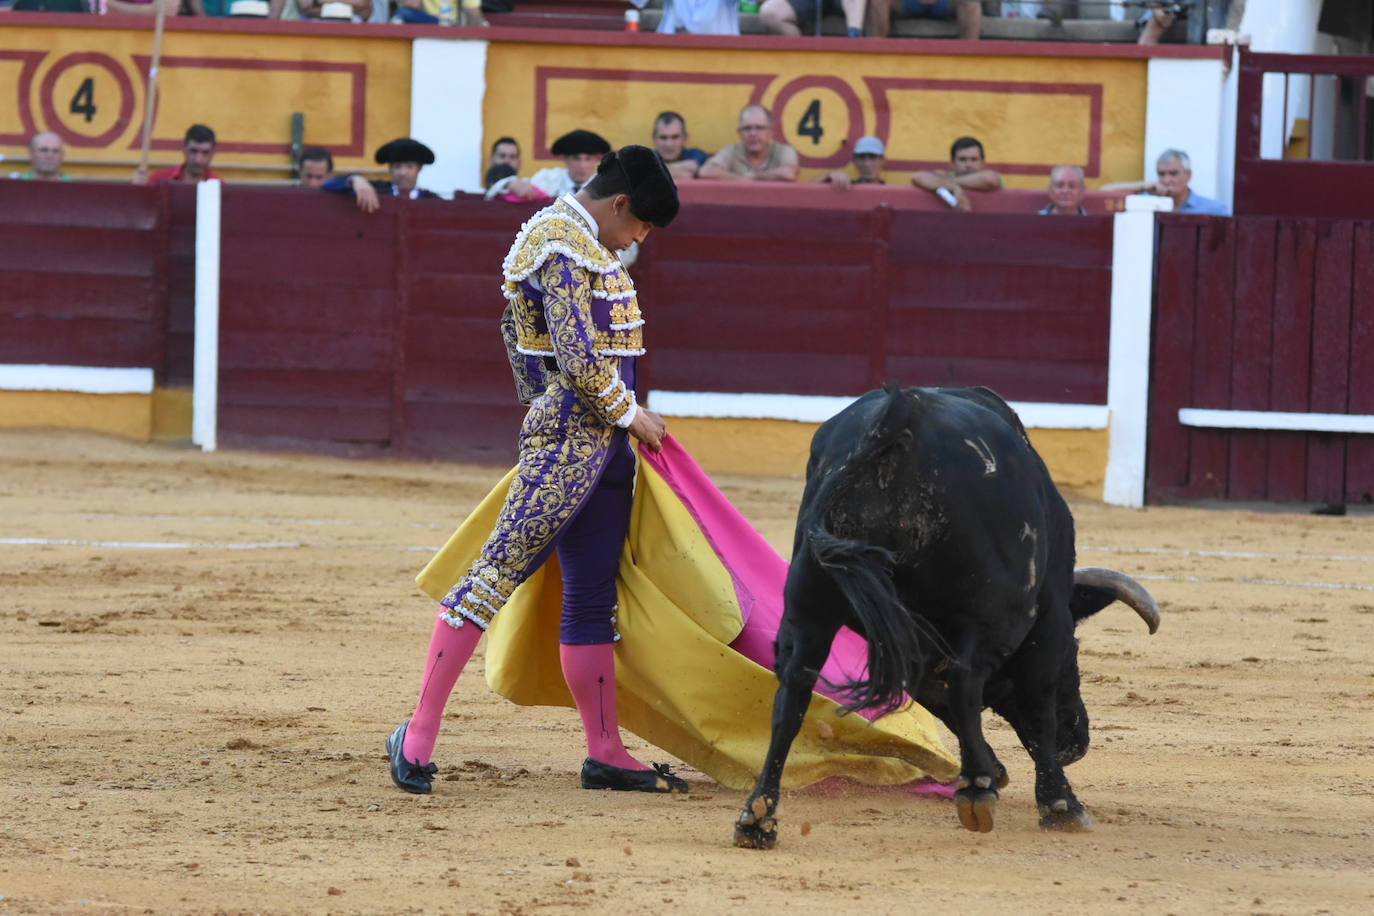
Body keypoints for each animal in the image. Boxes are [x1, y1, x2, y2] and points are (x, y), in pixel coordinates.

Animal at [730, 384, 1159, 851]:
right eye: (1075, 657)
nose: (1076, 742)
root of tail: (901, 413)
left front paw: (994, 770)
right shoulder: (1046, 625)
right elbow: (1031, 707)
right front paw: (1057, 803)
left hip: (809, 607)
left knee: (792, 695)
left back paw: (757, 819)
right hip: (997, 613)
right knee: (967, 680)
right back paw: (979, 790)